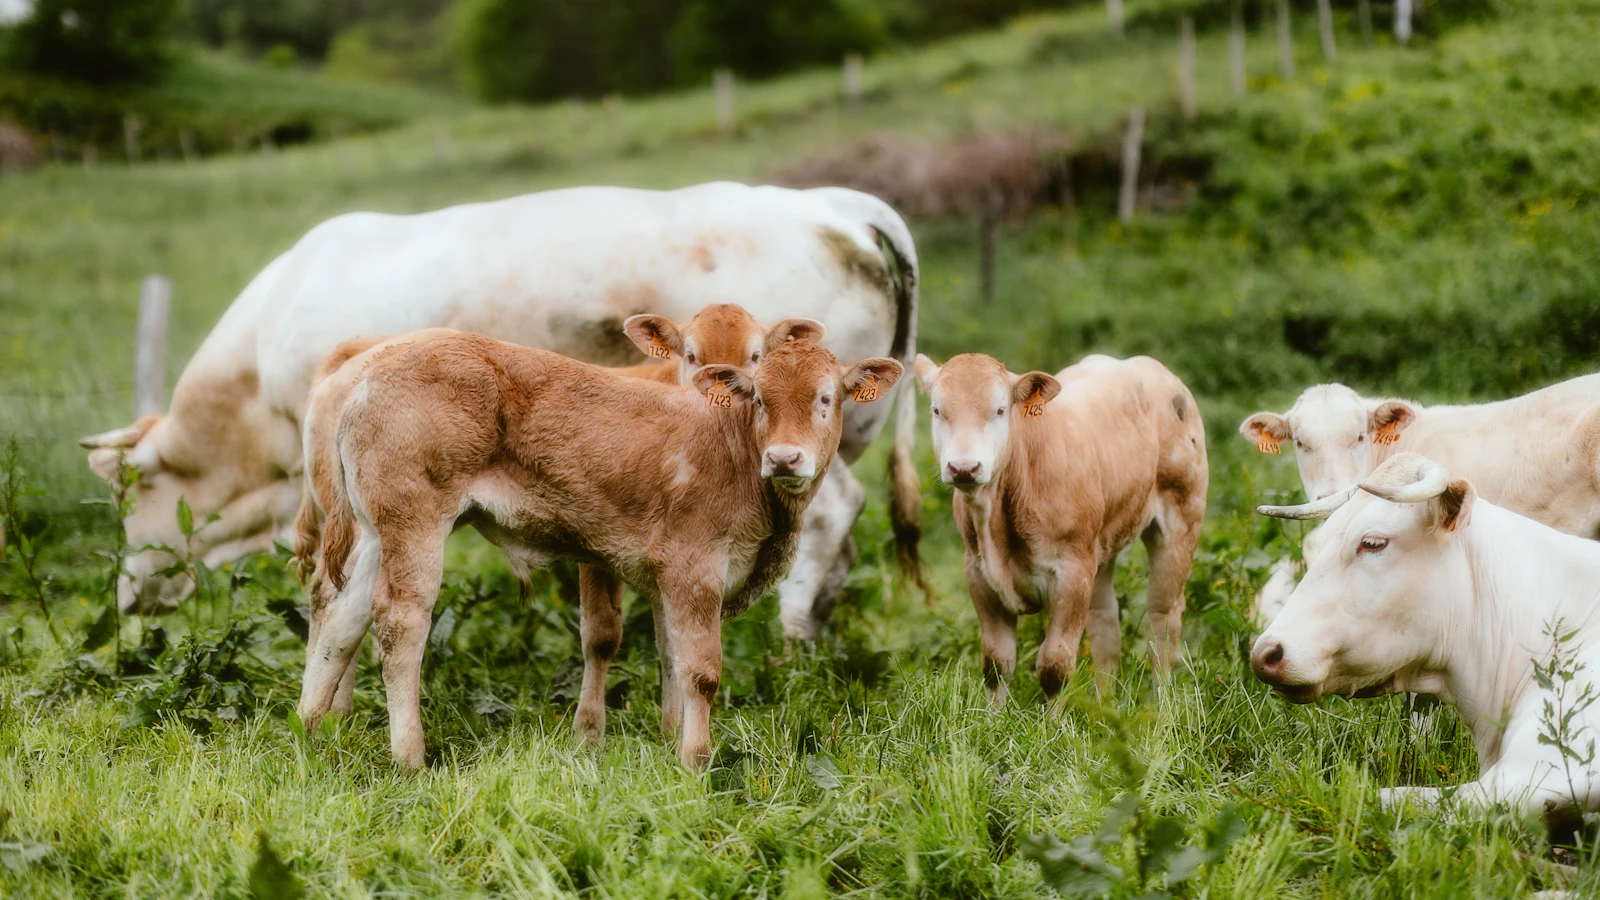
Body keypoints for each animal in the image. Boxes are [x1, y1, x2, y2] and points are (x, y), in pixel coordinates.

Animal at [79, 182, 923, 643]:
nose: (122, 604)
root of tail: (825, 204)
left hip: (798, 445)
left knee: (830, 517)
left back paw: (789, 642)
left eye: (126, 500)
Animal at [297, 331, 902, 769]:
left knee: (341, 613)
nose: (784, 458)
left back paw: (310, 725)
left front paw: (670, 740)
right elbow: (701, 669)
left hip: (375, 530)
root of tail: (367, 370)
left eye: (826, 398)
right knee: (400, 623)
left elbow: (670, 654)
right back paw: (409, 757)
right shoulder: (695, 568)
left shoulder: (669, 577)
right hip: (415, 521)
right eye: (759, 398)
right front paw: (695, 760)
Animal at [913, 352, 1207, 705]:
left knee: (1161, 622)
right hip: (1101, 547)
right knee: (1106, 625)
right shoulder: (977, 573)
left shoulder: (1072, 574)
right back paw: (1104, 704)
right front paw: (992, 716)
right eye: (937, 410)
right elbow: (996, 663)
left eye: (999, 409)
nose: (964, 468)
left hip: (1181, 521)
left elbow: (1054, 666)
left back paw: (1162, 705)